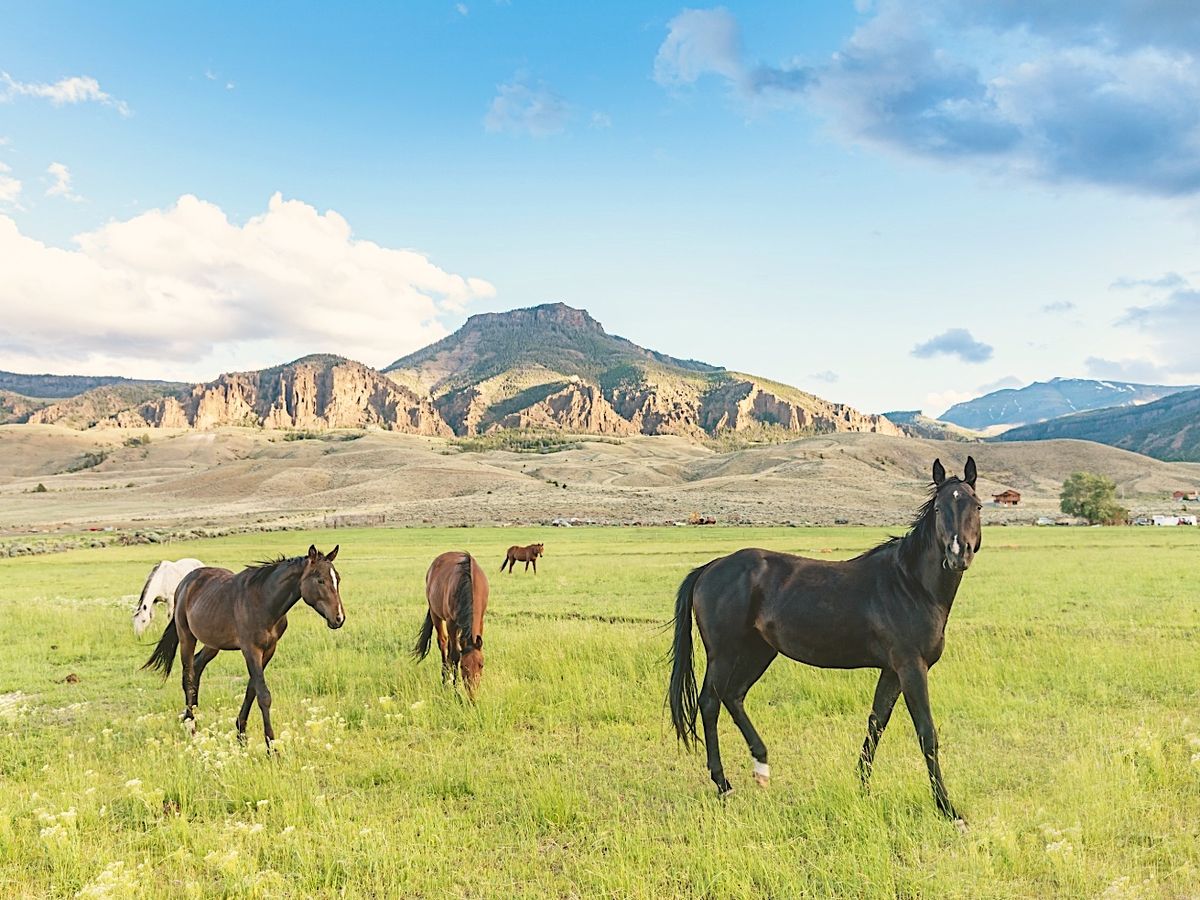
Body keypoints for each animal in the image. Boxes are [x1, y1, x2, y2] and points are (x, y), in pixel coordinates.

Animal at [142, 545, 344, 747]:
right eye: (320, 580)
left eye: (338, 579)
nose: (339, 618)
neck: (264, 602)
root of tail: (185, 582)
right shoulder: (251, 650)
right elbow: (263, 695)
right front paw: (271, 746)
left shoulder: (268, 650)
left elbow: (251, 690)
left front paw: (241, 734)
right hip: (187, 637)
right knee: (188, 676)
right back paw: (191, 726)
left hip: (212, 642)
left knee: (197, 666)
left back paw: (195, 715)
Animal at [413, 551, 489, 698]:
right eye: (463, 666)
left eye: (481, 665)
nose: (472, 696)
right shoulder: (451, 622)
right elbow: (455, 655)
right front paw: (455, 692)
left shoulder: (480, 620)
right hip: (436, 615)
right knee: (443, 643)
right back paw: (444, 679)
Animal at [668, 458, 982, 824]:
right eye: (938, 508)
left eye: (976, 505)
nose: (958, 554)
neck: (910, 584)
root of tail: (710, 567)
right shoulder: (911, 667)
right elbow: (927, 734)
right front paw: (948, 809)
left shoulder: (892, 671)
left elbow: (876, 723)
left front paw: (862, 786)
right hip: (724, 653)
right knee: (710, 702)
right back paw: (723, 784)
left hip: (758, 651)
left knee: (734, 696)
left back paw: (761, 767)